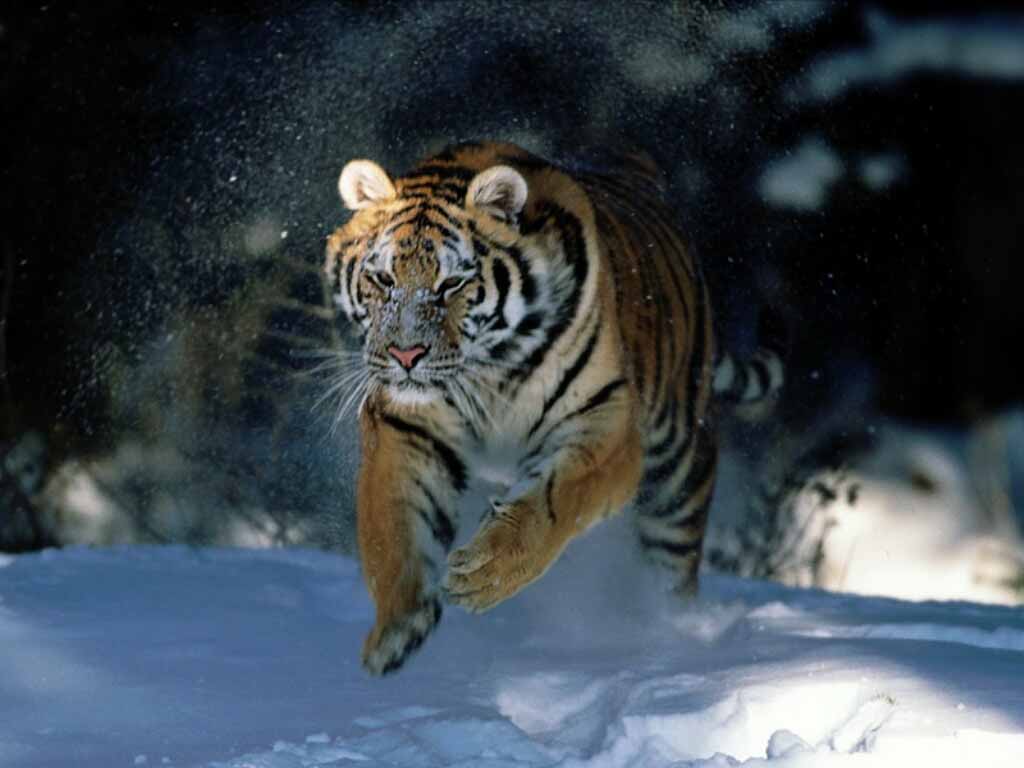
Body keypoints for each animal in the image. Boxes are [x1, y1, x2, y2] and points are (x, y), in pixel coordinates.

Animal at [324, 141, 783, 675]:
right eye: (382, 278)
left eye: (451, 284)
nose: (405, 355)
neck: (490, 369)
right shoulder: (405, 425)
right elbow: (393, 524)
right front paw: (397, 628)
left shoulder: (605, 422)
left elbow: (555, 501)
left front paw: (485, 573)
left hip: (678, 474)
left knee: (673, 568)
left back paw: (674, 637)